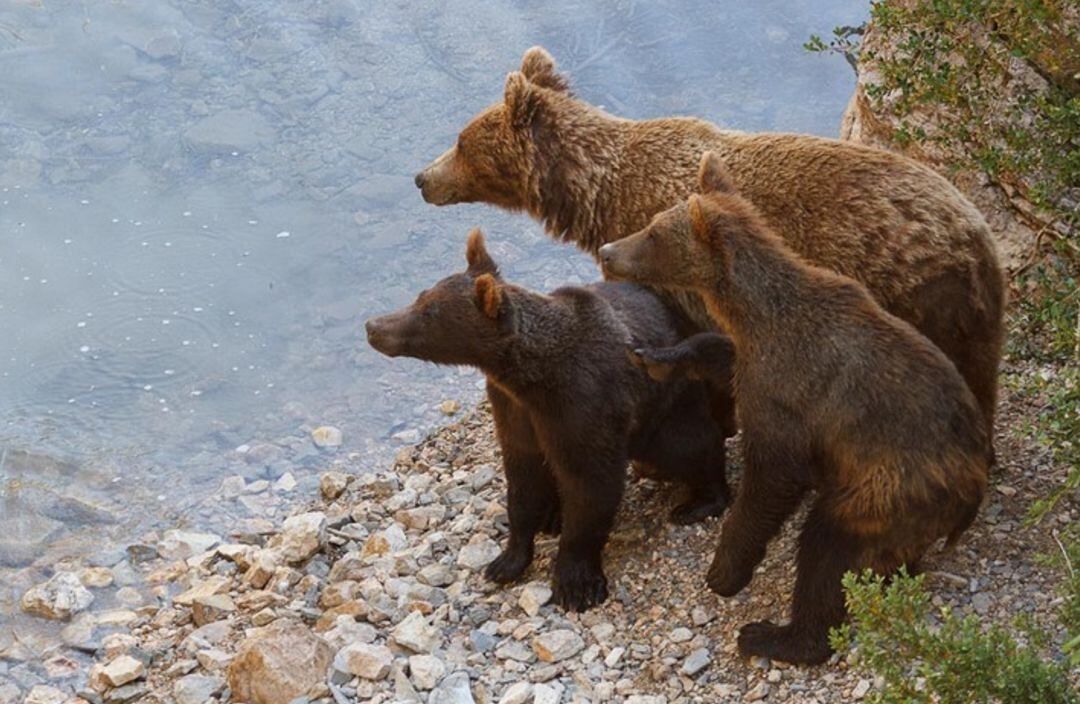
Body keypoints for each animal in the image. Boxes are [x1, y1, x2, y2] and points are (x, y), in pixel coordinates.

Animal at [412, 48, 1002, 451]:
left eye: (461, 142)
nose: (421, 177)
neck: (602, 193)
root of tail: (973, 233)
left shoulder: (676, 268)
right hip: (975, 308)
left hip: (914, 289)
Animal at [600, 154, 989, 665]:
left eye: (653, 231)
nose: (607, 251)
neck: (758, 312)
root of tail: (972, 492)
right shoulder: (754, 359)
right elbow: (720, 355)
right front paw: (657, 356)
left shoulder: (788, 389)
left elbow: (773, 475)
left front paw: (724, 570)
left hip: (890, 486)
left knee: (829, 548)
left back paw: (775, 635)